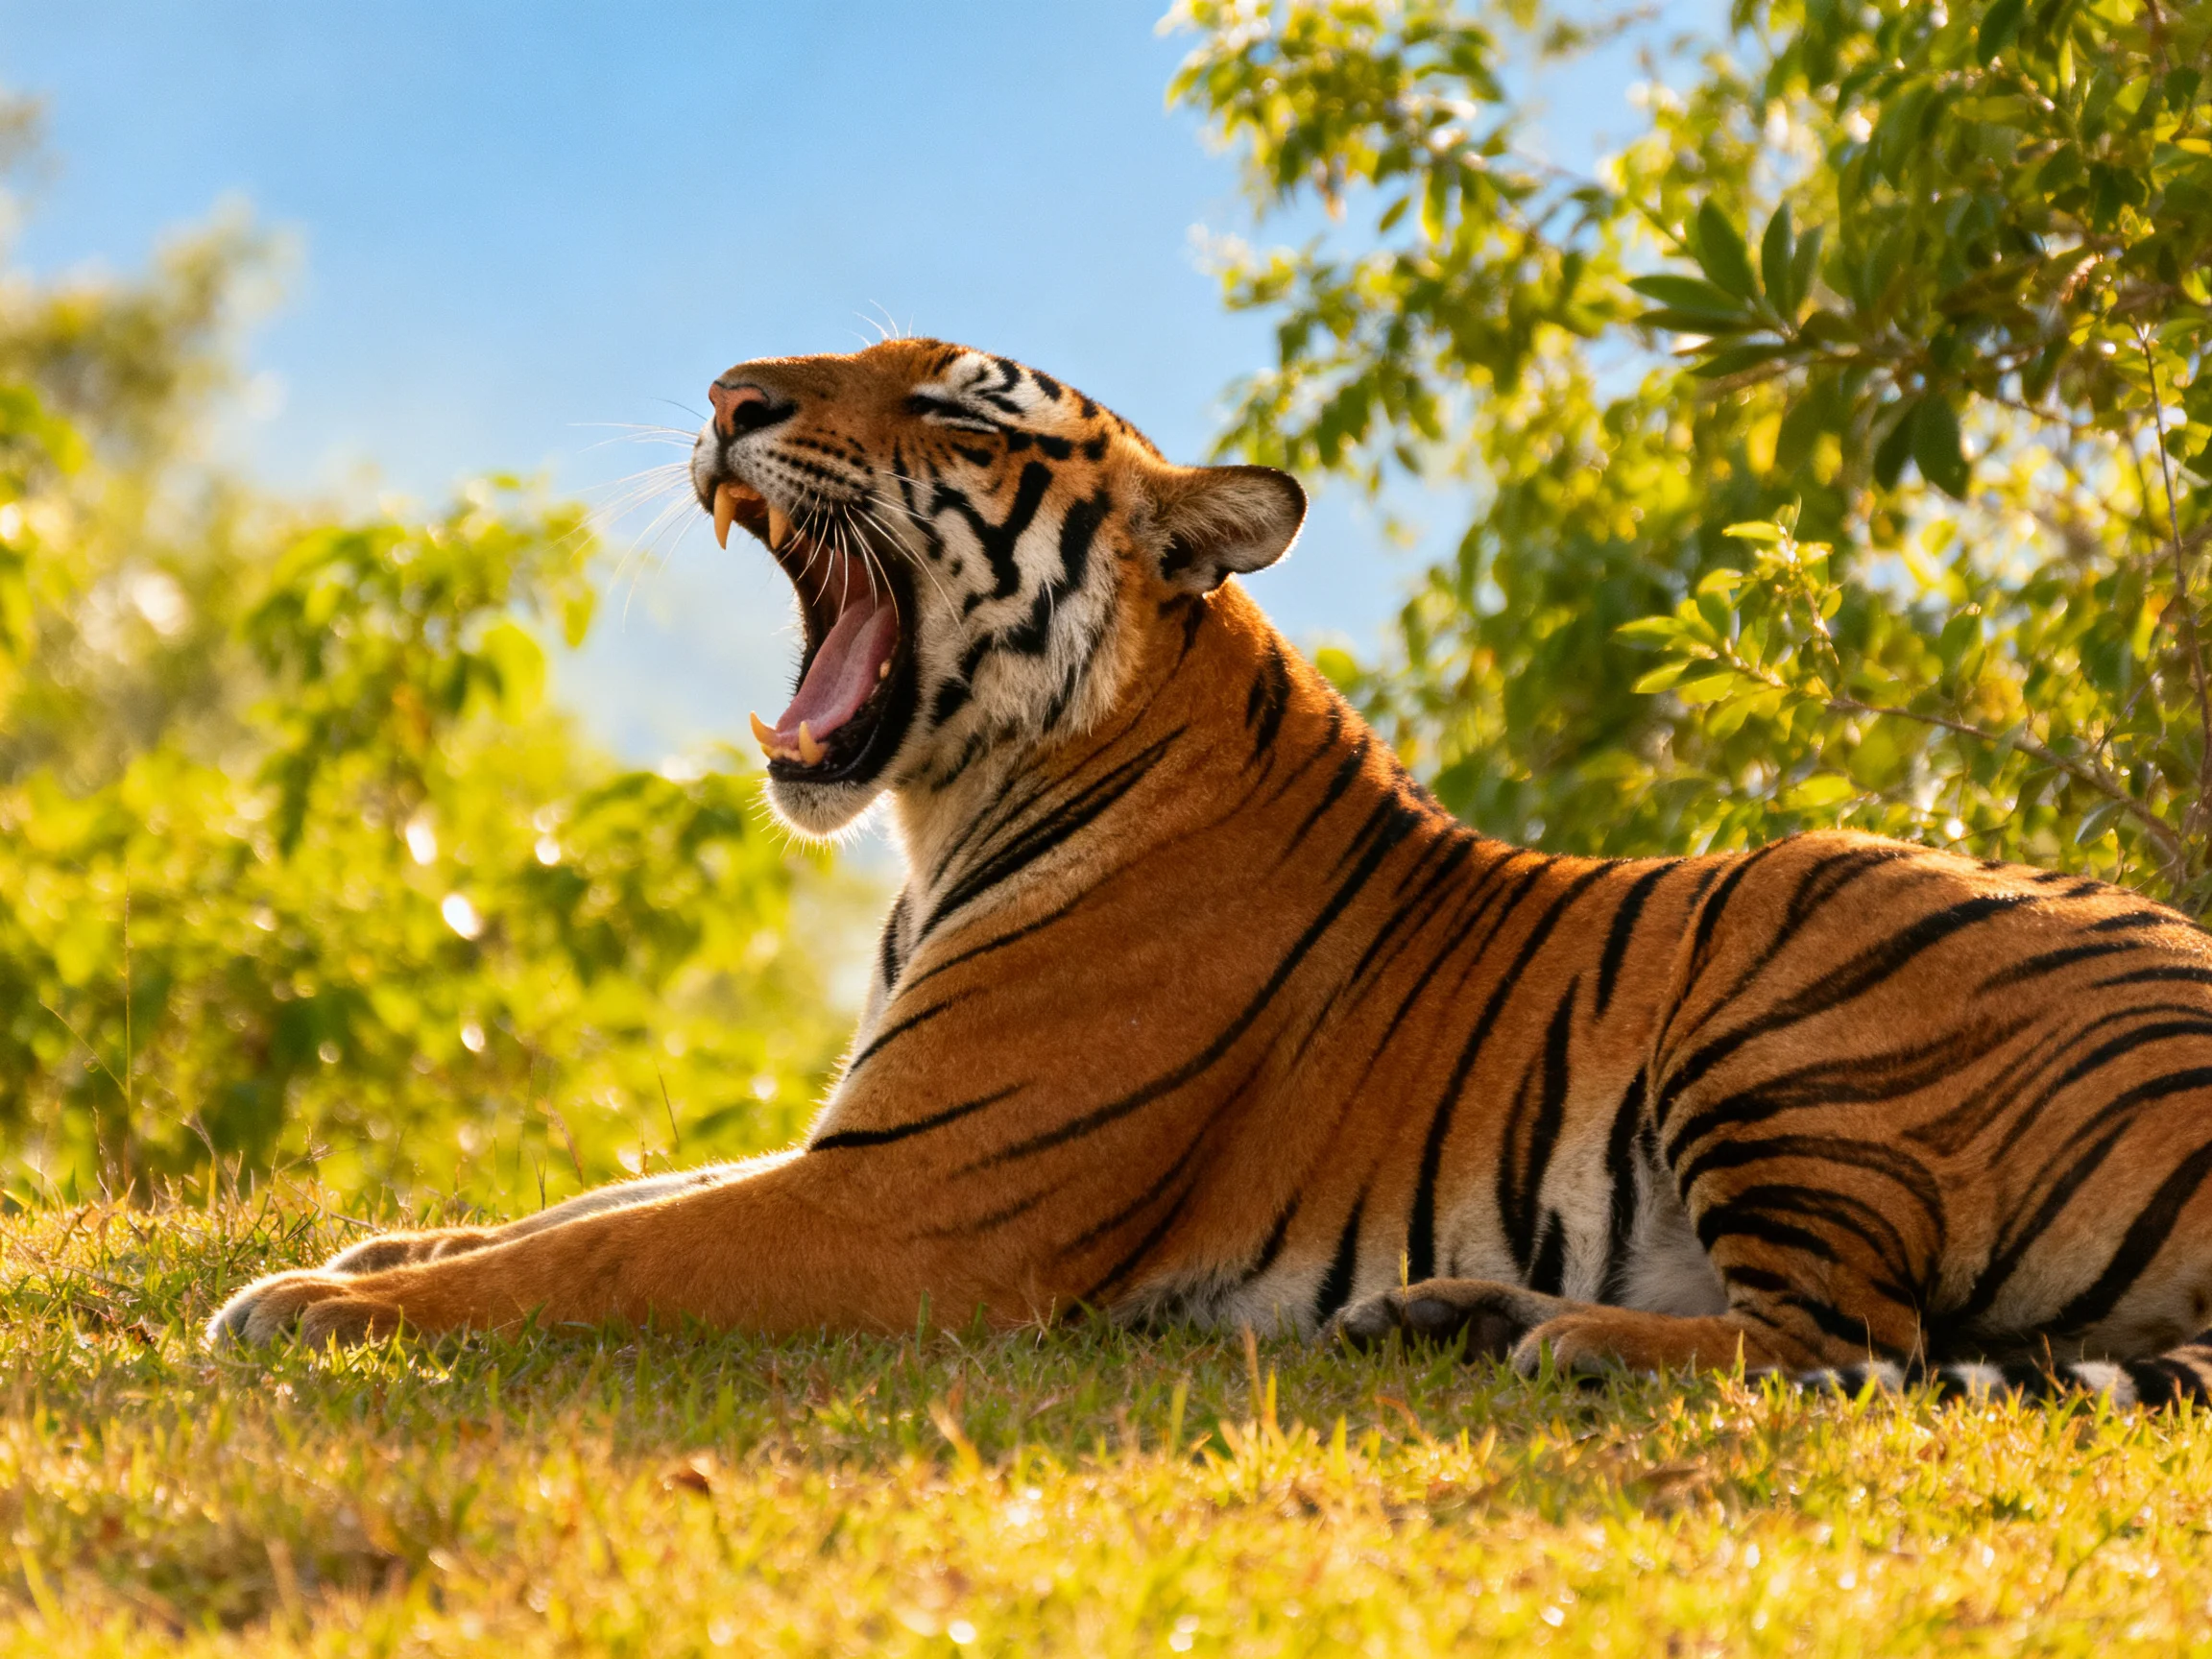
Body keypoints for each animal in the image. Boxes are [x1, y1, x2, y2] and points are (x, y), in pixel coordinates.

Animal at [210, 338, 2212, 1406]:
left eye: (960, 415)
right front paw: (376, 1240)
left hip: (1792, 988)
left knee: (1844, 1341)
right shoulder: (854, 1139)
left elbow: (607, 1252)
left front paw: (311, 1304)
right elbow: (589, 1201)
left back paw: (1552, 1336)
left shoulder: (900, 1200)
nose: (729, 393)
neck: (947, 811)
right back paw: (1449, 1308)